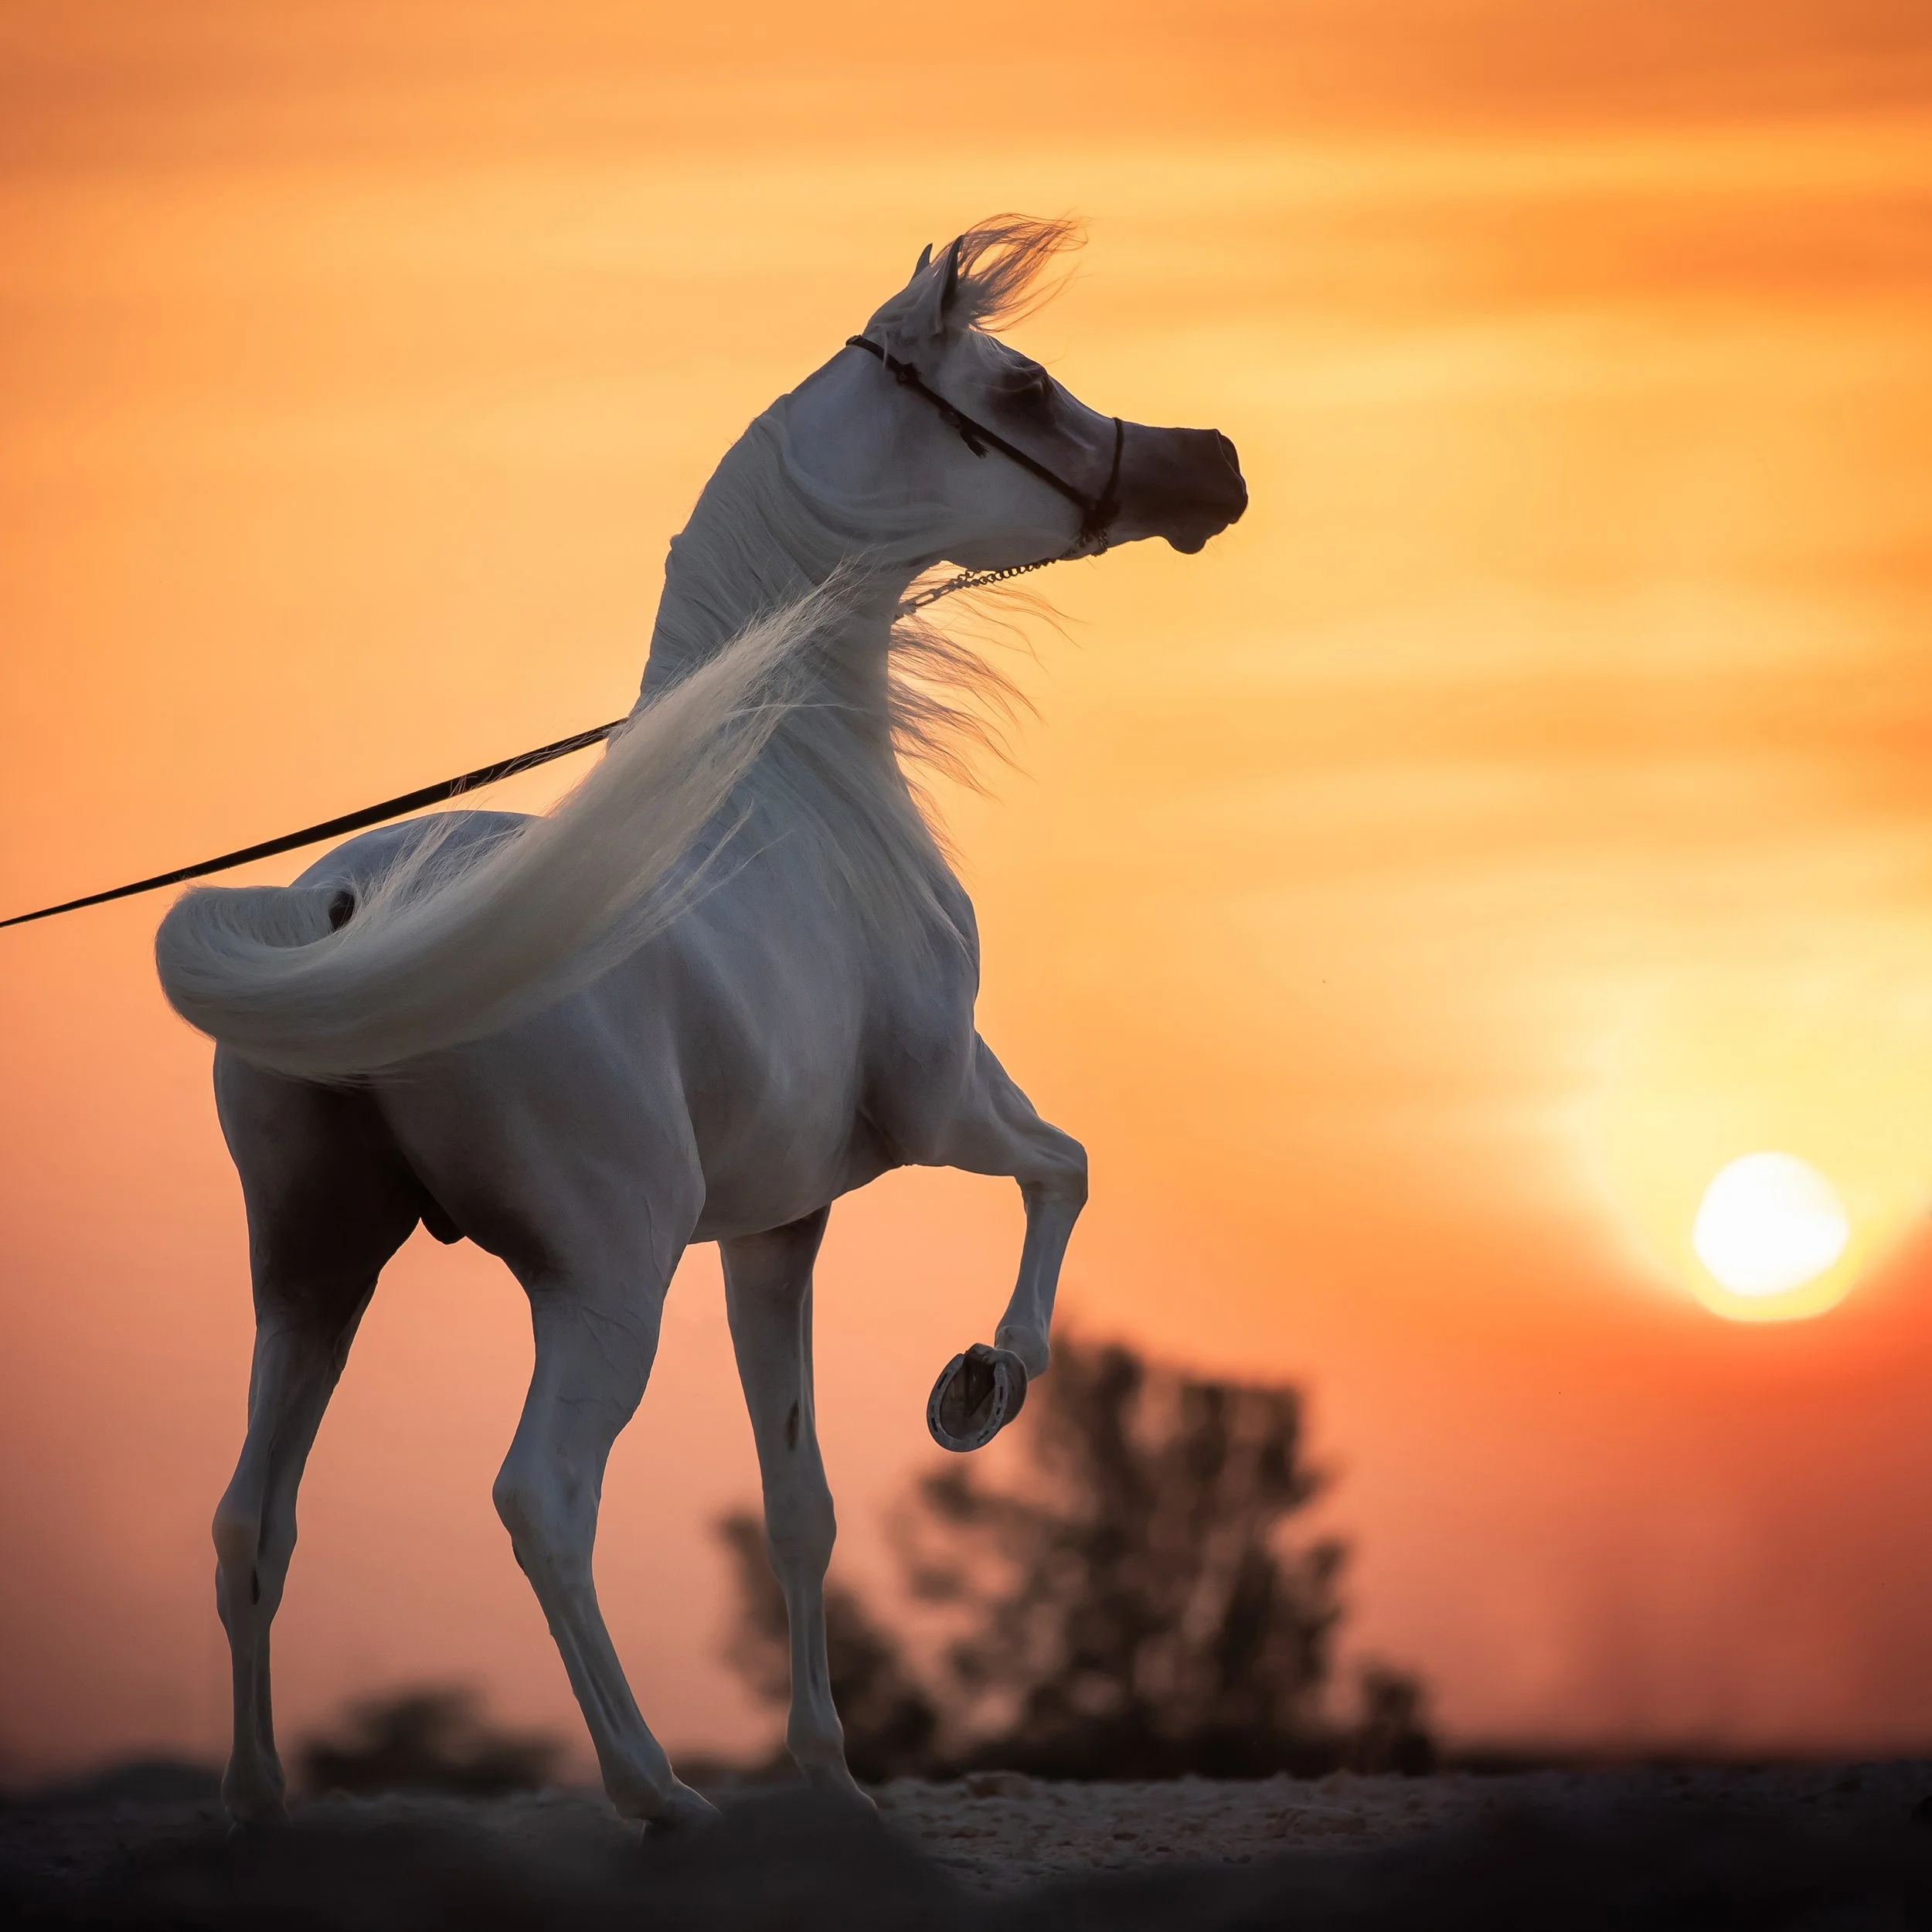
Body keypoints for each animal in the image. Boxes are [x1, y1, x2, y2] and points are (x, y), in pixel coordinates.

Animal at [153, 216, 1247, 1827]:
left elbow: (799, 1502)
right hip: (603, 1279)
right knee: (541, 1496)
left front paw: (834, 1777)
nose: (1214, 466)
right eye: (1025, 383)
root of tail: (352, 913)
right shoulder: (947, 1106)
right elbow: (1068, 1172)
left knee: (250, 1520)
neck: (793, 773)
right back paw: (654, 1789)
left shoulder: (777, 1230)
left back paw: (257, 1803)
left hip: (312, 1272)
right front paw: (981, 1386)